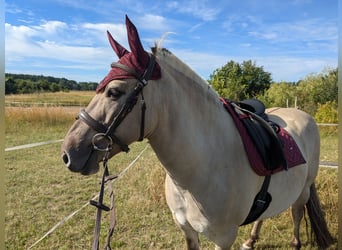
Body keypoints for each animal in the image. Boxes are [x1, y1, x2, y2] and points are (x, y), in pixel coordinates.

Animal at [60, 16, 332, 250]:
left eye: (114, 92)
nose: (68, 152)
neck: (202, 167)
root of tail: (303, 115)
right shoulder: (187, 230)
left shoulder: (223, 238)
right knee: (263, 216)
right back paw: (251, 240)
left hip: (303, 191)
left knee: (297, 214)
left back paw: (294, 243)